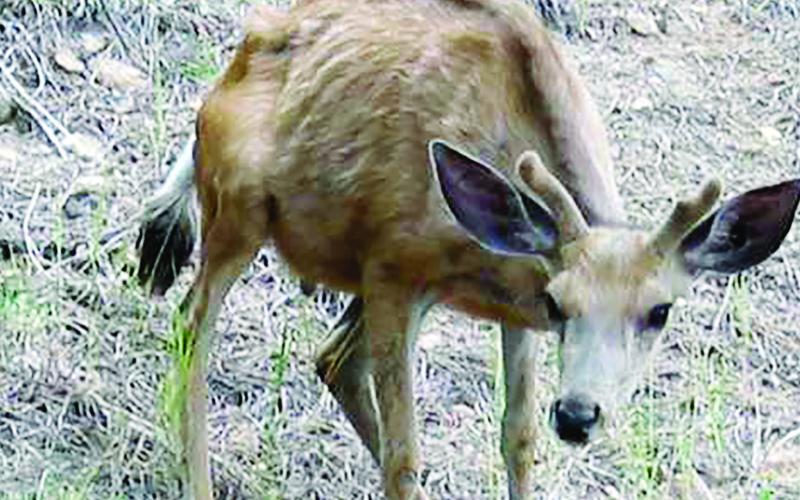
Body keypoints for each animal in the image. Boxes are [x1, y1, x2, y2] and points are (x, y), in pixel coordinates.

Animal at [135, 0, 800, 499]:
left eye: (659, 311)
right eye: (562, 305)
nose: (578, 415)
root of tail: (240, 55)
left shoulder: (513, 306)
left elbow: (519, 437)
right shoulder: (392, 267)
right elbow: (404, 454)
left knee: (330, 356)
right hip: (239, 205)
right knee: (193, 326)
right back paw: (196, 478)